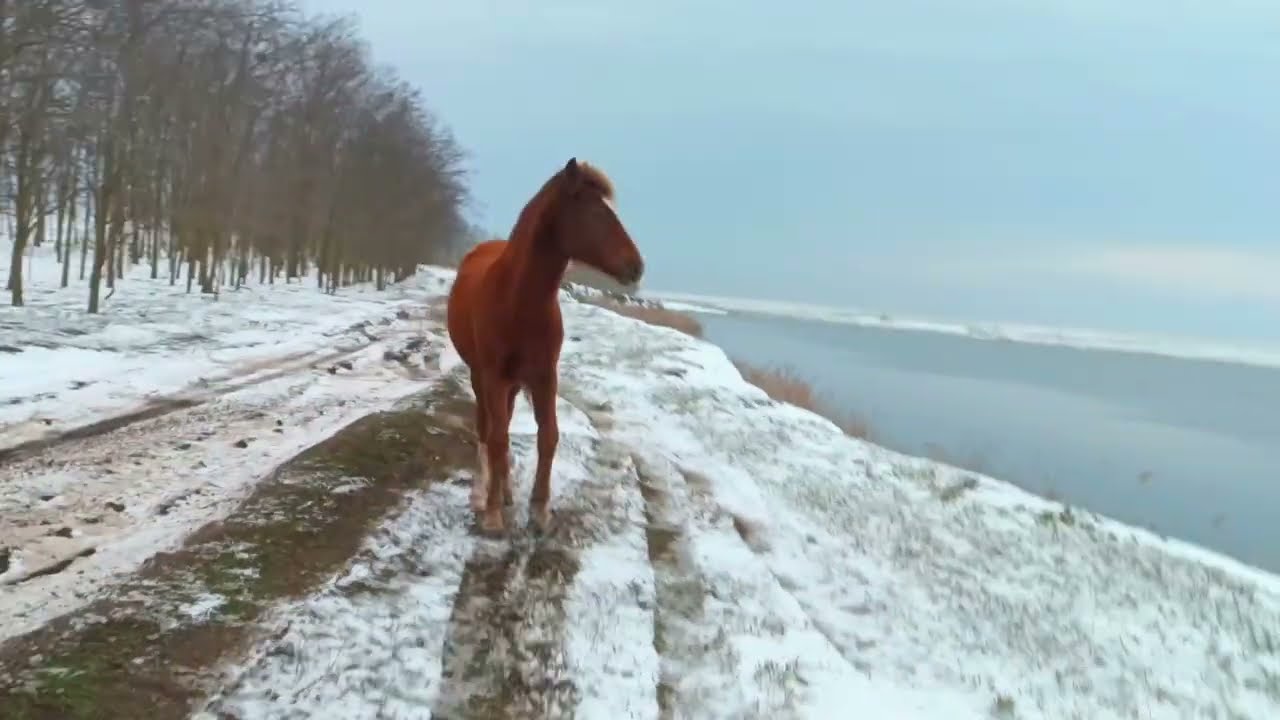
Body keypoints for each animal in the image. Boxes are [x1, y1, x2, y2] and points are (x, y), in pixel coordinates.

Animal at [445, 157, 644, 535]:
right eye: (595, 211)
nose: (637, 267)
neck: (519, 300)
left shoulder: (544, 376)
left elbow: (548, 435)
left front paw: (538, 510)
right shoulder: (493, 376)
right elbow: (497, 437)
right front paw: (492, 514)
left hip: (511, 384)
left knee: (503, 424)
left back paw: (507, 492)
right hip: (481, 377)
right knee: (487, 429)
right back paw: (482, 494)